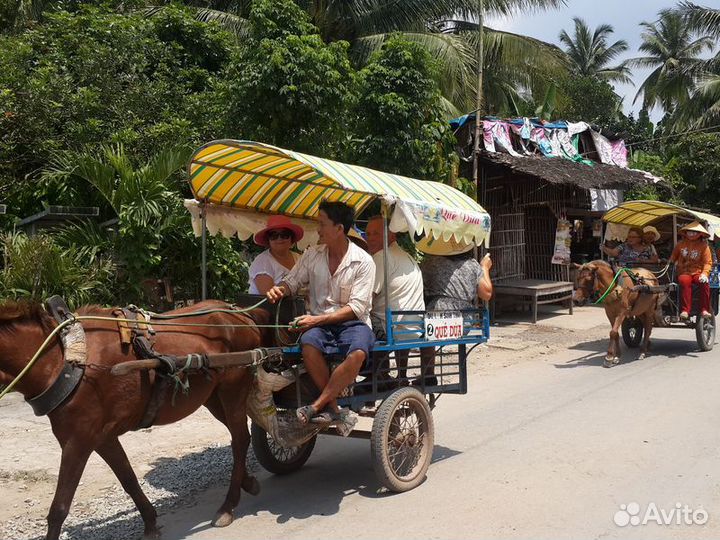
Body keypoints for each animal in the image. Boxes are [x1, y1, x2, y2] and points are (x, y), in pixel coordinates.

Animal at [0, 300, 274, 540]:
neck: (63, 361)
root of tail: (242, 314)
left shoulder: (78, 441)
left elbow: (59, 507)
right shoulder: (103, 438)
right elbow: (128, 479)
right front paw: (150, 522)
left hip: (232, 389)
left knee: (240, 439)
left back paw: (228, 505)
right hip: (214, 397)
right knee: (239, 436)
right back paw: (247, 483)